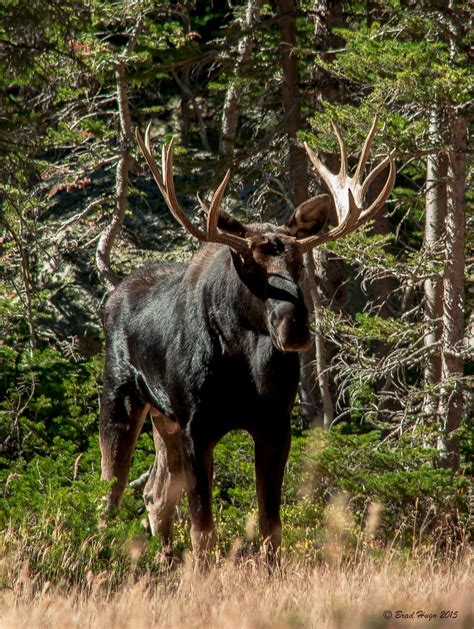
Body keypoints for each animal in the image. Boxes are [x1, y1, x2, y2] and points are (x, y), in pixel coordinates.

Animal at [100, 118, 396, 560]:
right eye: (248, 265)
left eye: (298, 263)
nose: (295, 328)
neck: (242, 366)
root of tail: (112, 296)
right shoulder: (196, 424)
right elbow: (203, 531)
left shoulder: (275, 424)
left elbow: (271, 528)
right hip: (122, 396)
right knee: (111, 491)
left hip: (163, 417)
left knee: (155, 492)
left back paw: (164, 560)